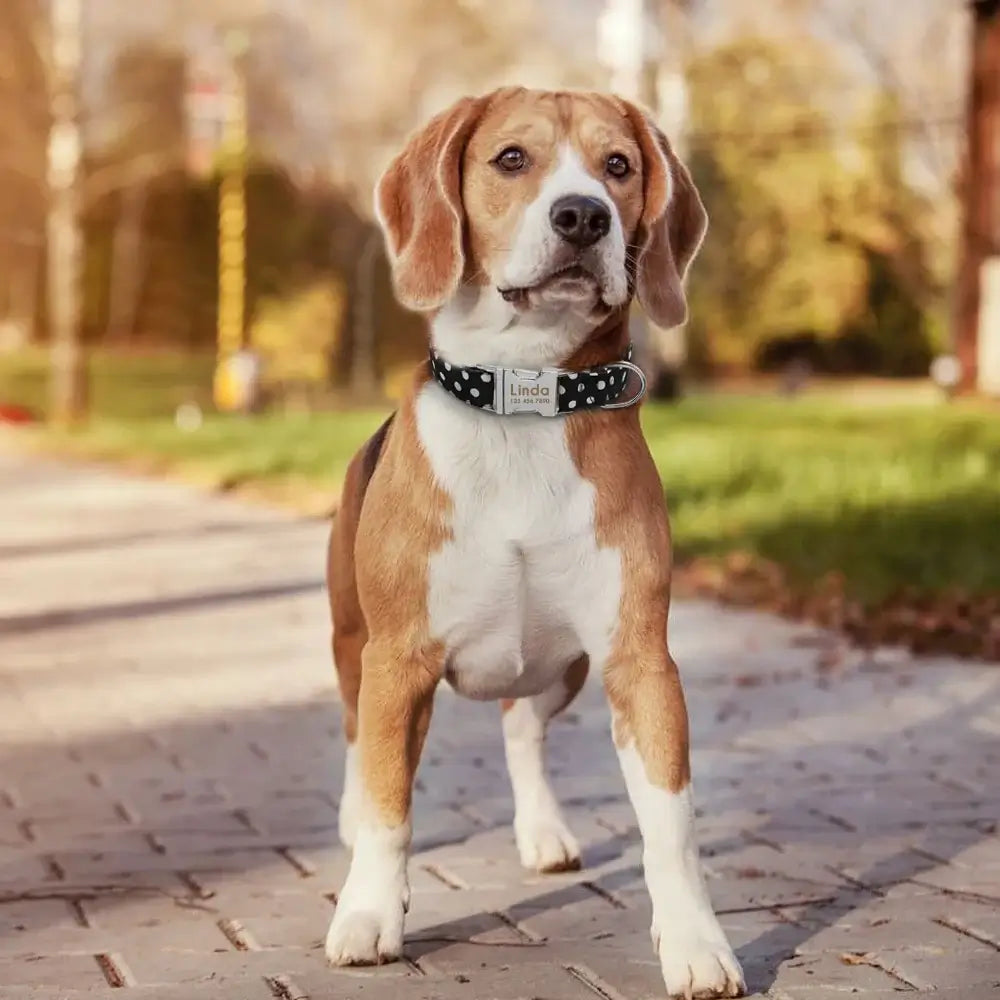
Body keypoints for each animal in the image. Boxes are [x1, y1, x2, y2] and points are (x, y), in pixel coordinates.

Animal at [326, 88, 744, 1000]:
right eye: (511, 159)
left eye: (618, 165)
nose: (583, 215)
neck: (526, 397)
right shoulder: (398, 660)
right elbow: (388, 807)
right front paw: (368, 913)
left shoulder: (639, 662)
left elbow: (672, 826)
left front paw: (696, 943)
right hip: (352, 644)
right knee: (359, 741)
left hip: (564, 669)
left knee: (522, 730)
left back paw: (543, 831)